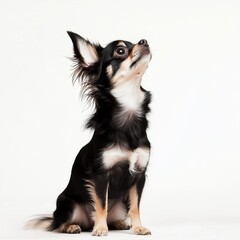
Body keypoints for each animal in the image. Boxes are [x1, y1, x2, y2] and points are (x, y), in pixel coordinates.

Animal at [28, 31, 152, 236]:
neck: (129, 104)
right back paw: (73, 227)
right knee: (59, 224)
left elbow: (136, 206)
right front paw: (100, 229)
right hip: (67, 204)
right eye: (120, 51)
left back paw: (119, 223)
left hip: (121, 203)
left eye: (135, 42)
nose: (144, 41)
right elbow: (101, 204)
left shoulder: (139, 174)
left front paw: (139, 227)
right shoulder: (101, 175)